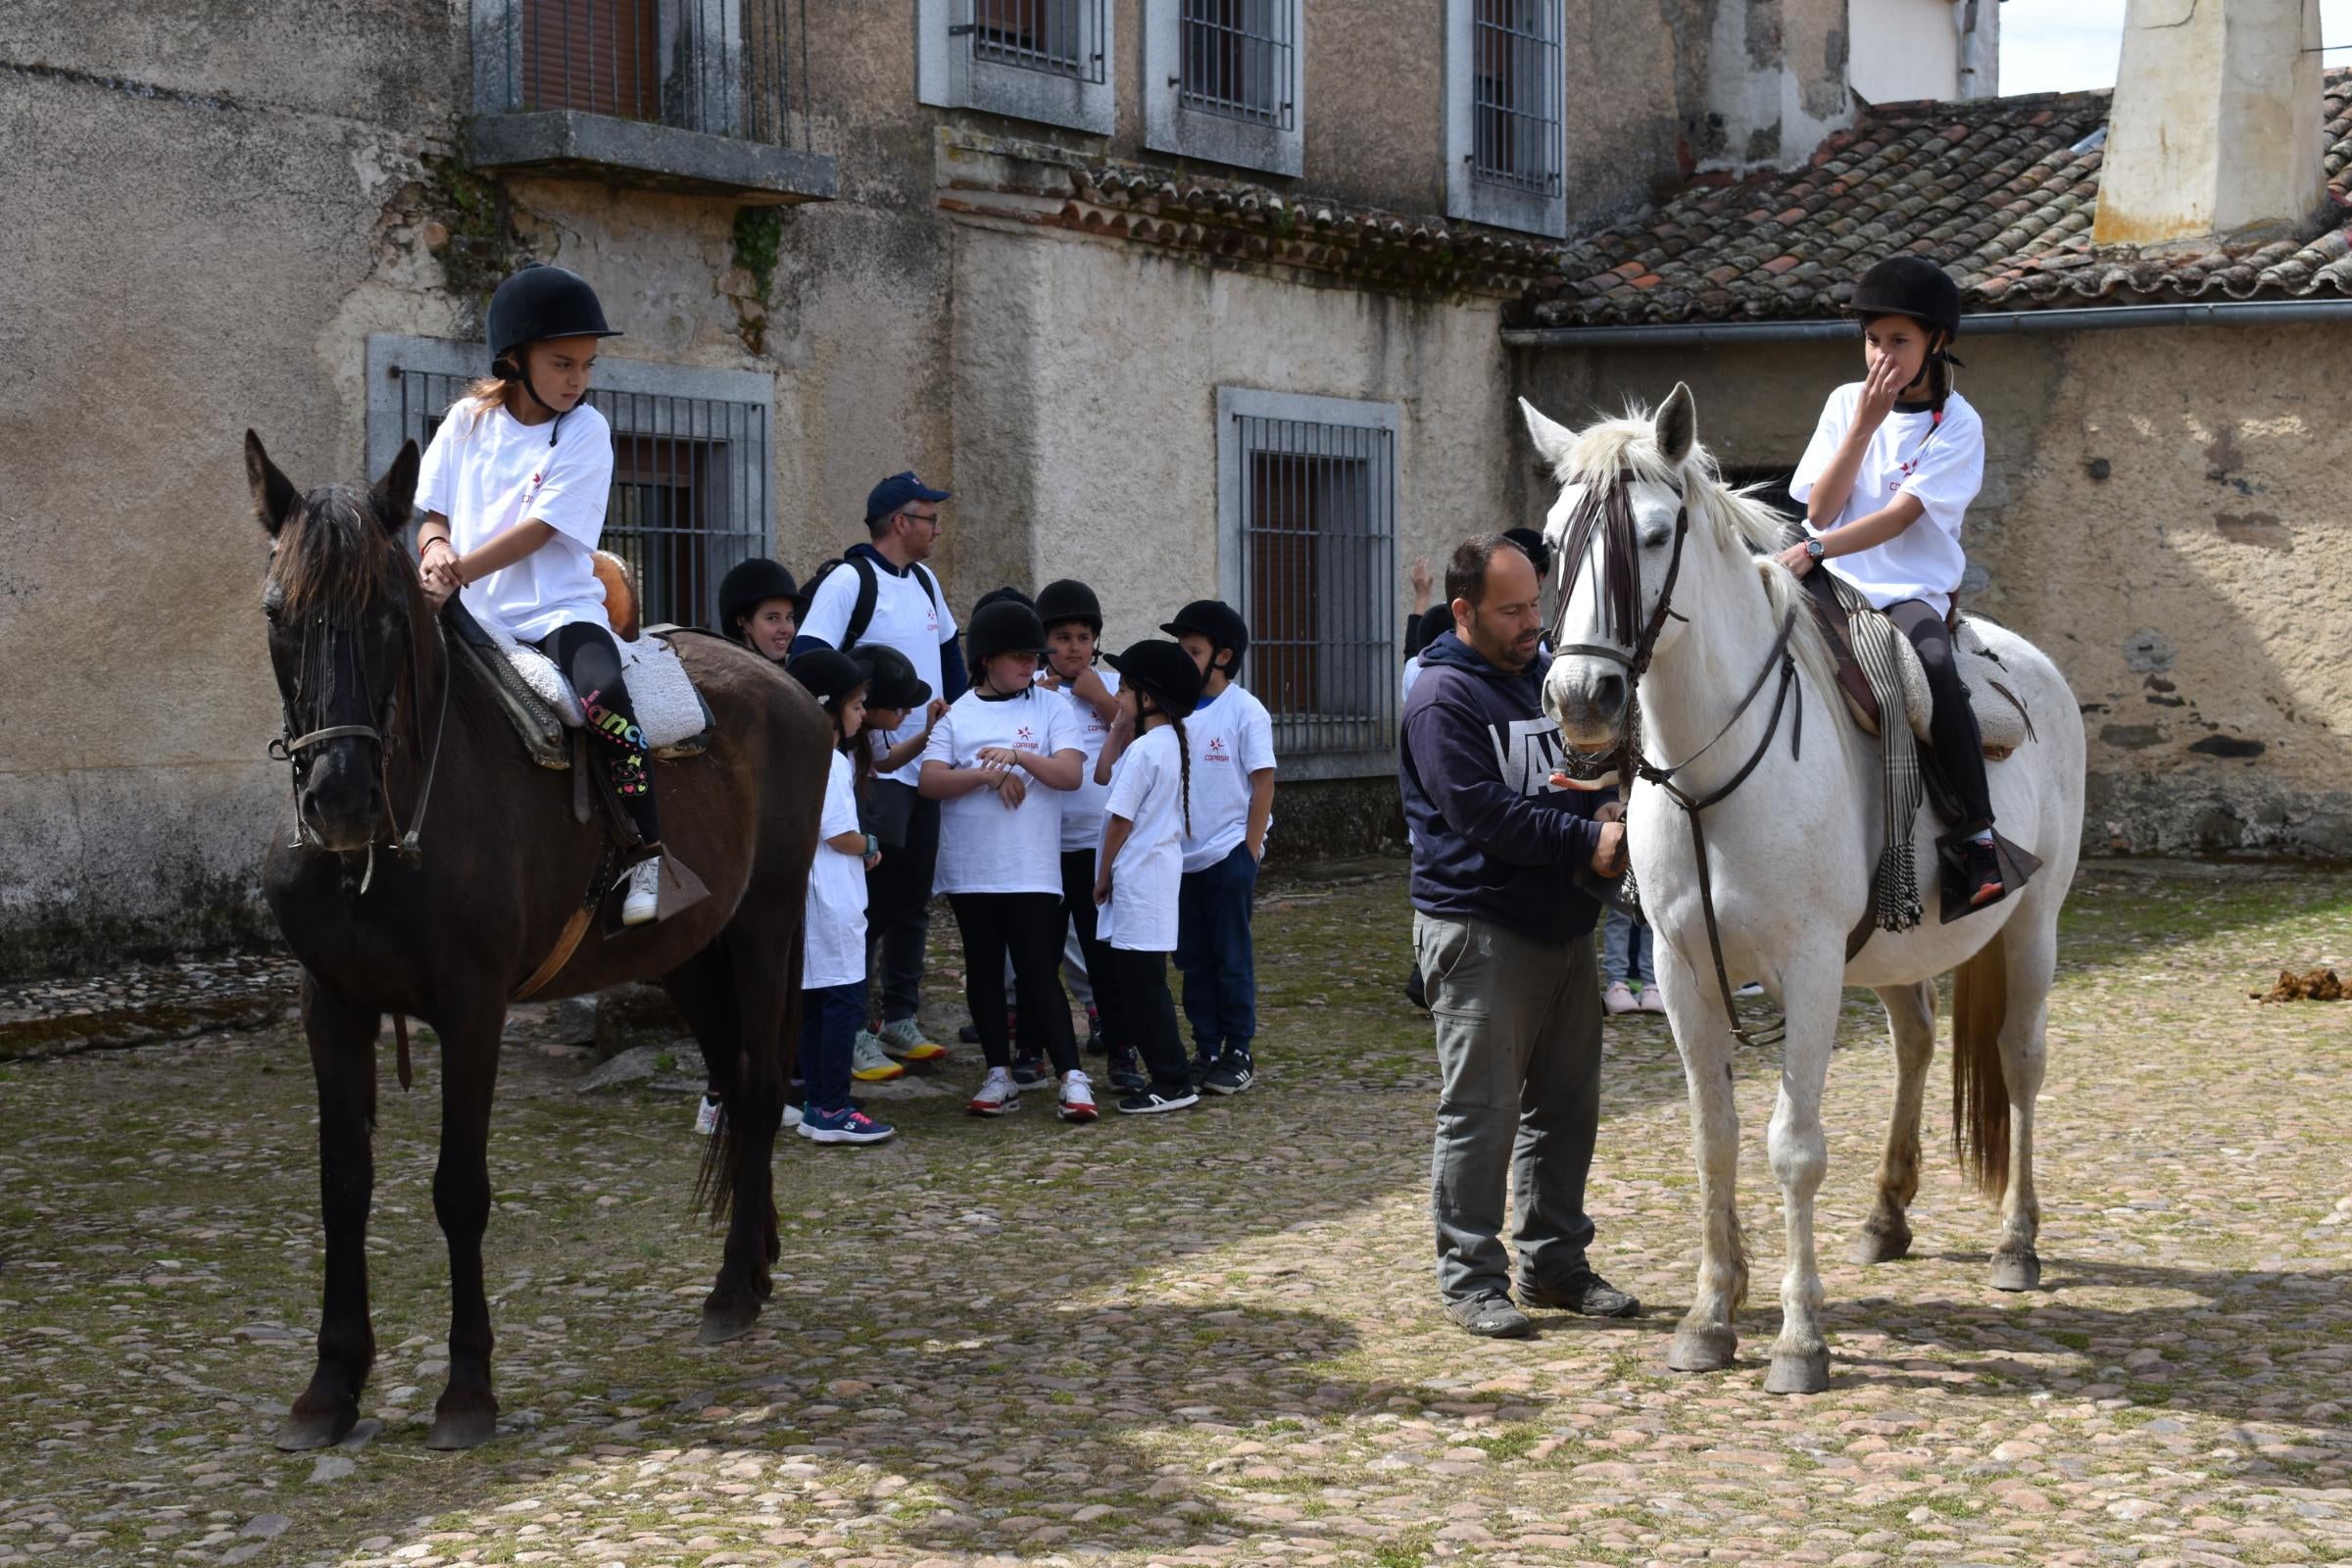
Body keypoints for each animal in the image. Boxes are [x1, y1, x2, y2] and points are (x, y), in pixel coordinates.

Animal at [244, 425, 832, 1447]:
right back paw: (754, 1260)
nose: (340, 798)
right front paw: (330, 1387)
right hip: (688, 954)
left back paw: (730, 1292)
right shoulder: (335, 1005)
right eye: (281, 612)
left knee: (759, 1089)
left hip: (764, 923)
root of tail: (784, 682)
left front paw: (467, 1388)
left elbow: (459, 1188)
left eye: (390, 615)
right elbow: (343, 1187)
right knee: (729, 1082)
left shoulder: (473, 1007)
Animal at [1524, 385, 2097, 1392]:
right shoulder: (1683, 973)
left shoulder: (1811, 964)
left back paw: (2016, 1245)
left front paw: (1798, 1339)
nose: (1582, 698)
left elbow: (1792, 1148)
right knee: (1917, 1041)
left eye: (1657, 533)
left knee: (2021, 1062)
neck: (1711, 770)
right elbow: (1713, 1138)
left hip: (2033, 927)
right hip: (1900, 952)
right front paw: (1711, 1318)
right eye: (1554, 542)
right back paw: (1886, 1218)